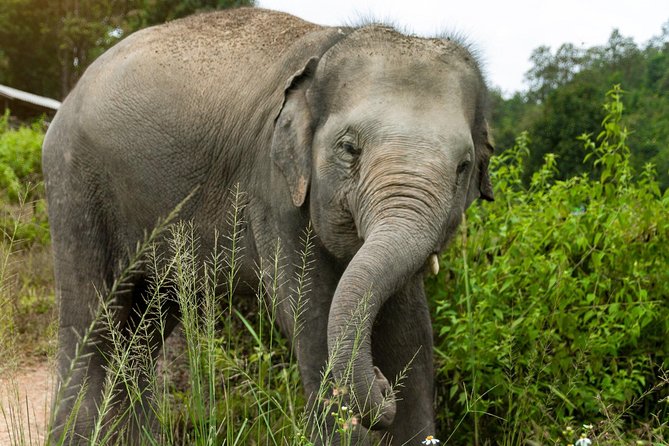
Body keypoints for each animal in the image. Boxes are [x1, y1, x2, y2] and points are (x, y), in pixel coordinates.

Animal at [41, 5, 490, 444]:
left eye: (463, 167)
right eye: (349, 148)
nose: (381, 386)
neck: (332, 44)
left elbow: (410, 330)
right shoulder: (274, 187)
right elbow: (313, 319)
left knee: (143, 328)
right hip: (75, 188)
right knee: (92, 324)